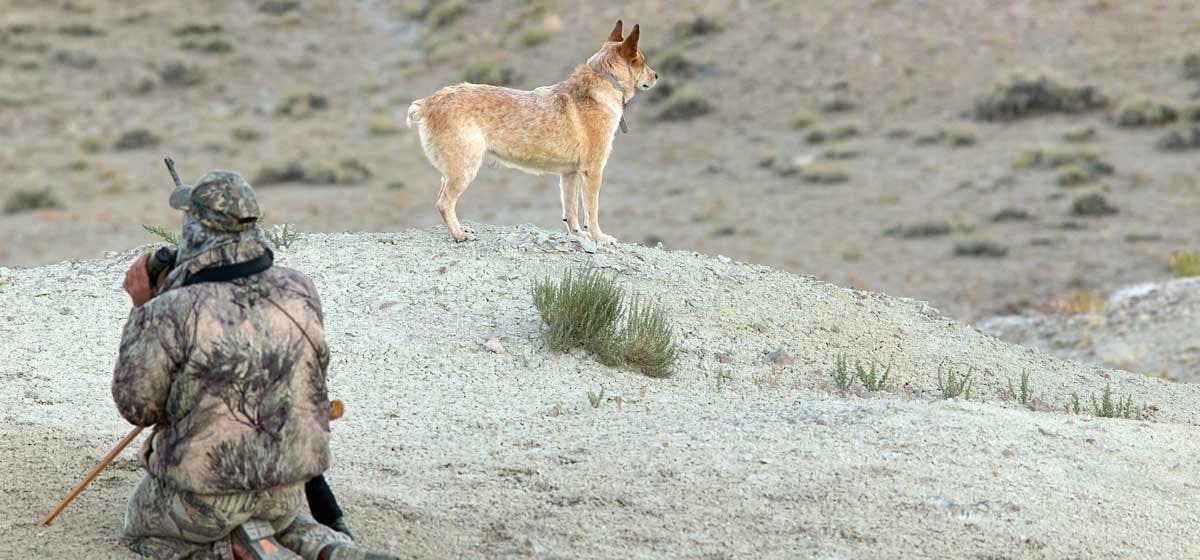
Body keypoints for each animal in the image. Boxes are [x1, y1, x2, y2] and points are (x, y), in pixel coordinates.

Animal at [408, 20, 662, 244]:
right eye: (641, 61)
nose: (657, 76)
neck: (604, 82)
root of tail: (428, 103)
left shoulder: (569, 174)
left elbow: (571, 210)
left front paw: (579, 235)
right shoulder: (593, 171)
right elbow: (592, 210)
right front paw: (600, 237)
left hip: (452, 170)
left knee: (443, 200)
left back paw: (460, 228)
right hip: (464, 169)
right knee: (443, 203)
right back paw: (459, 235)